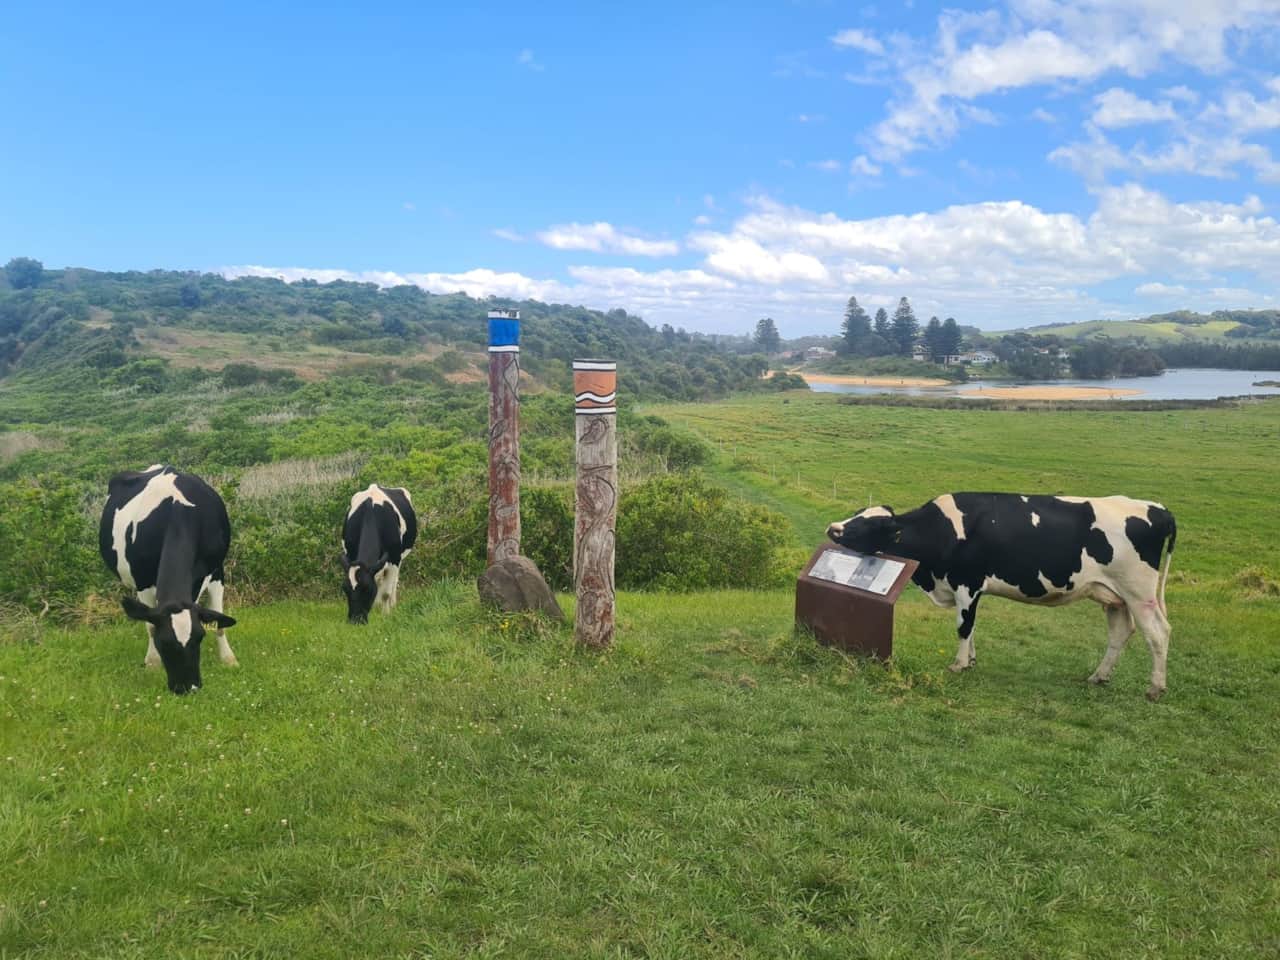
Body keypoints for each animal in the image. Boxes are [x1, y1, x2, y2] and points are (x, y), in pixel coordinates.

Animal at [99, 465, 237, 695]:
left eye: (199, 637)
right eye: (163, 642)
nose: (188, 687)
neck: (178, 515)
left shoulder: (217, 571)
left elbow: (219, 621)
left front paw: (228, 659)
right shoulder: (143, 581)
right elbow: (149, 624)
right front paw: (152, 662)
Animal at [341, 484, 417, 624]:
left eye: (367, 588)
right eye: (345, 589)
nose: (355, 620)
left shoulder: (394, 560)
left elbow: (386, 593)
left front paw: (385, 614)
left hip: (400, 558)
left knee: (394, 582)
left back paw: (392, 604)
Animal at [826, 493, 1177, 700]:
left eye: (868, 525)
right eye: (857, 514)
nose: (833, 528)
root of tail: (1158, 508)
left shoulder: (967, 583)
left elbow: (964, 626)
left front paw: (958, 664)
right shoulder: (971, 589)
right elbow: (972, 627)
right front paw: (971, 660)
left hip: (1139, 591)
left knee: (1158, 633)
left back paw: (1155, 687)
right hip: (1114, 595)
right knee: (1120, 633)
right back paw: (1099, 676)